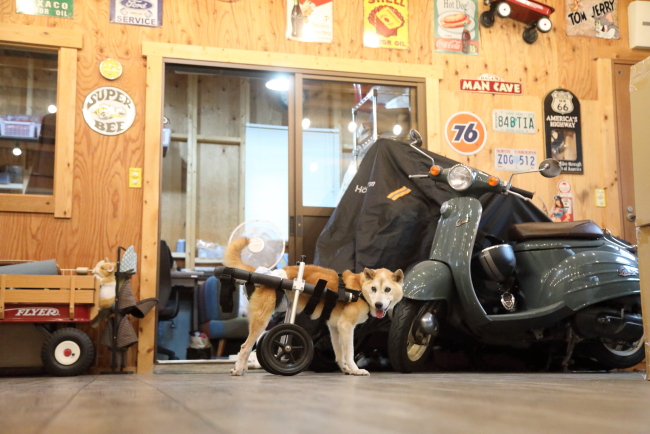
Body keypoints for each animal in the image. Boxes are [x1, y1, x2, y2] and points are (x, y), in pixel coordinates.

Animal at [225, 237, 402, 376]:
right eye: (374, 289)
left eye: (387, 289)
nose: (379, 304)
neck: (359, 290)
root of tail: (265, 273)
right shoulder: (346, 326)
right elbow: (349, 353)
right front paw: (355, 370)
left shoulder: (335, 327)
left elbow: (339, 353)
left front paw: (346, 369)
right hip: (262, 319)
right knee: (245, 346)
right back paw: (239, 370)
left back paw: (243, 368)